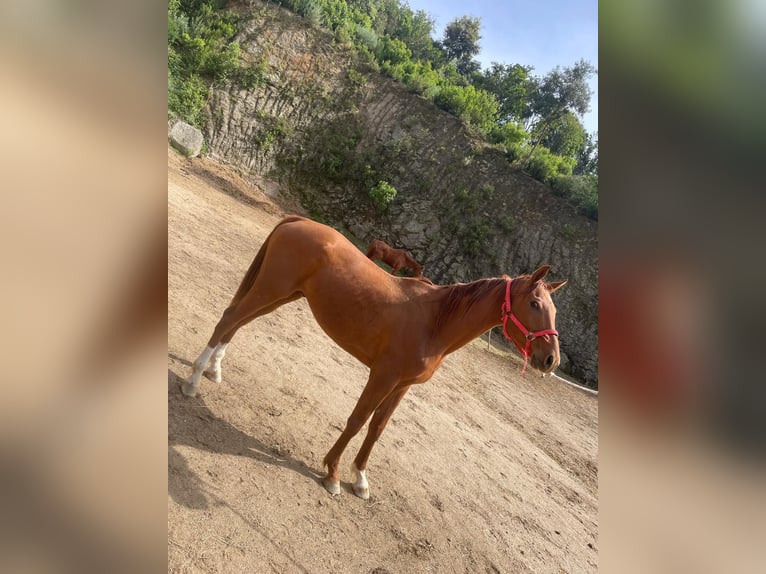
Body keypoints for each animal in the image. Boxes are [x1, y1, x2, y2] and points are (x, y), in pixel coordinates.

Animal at [184, 216, 566, 499]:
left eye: (553, 308)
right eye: (535, 304)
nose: (551, 360)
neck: (434, 322)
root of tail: (298, 221)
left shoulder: (402, 386)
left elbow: (377, 428)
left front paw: (361, 479)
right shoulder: (382, 376)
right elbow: (357, 420)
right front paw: (333, 473)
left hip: (282, 295)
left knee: (237, 325)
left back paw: (214, 370)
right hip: (271, 289)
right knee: (229, 320)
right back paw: (193, 381)